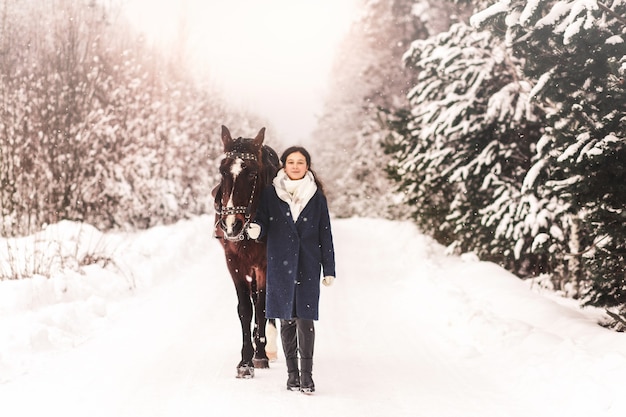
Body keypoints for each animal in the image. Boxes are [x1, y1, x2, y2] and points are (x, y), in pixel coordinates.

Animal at [212, 124, 278, 376]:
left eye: (252, 174)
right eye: (222, 171)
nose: (232, 225)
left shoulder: (265, 263)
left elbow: (261, 306)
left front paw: (260, 355)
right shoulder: (234, 262)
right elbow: (245, 309)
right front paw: (245, 361)